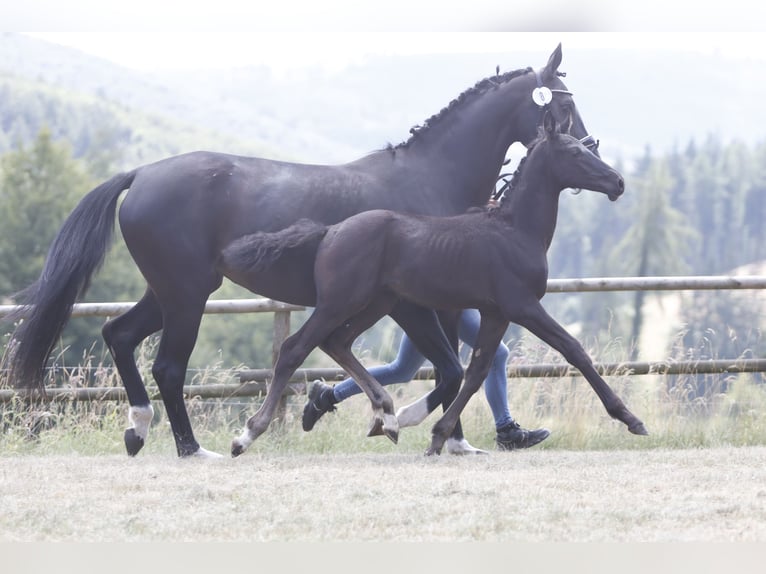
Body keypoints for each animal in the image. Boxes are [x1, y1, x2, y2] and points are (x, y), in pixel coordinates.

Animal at [2, 43, 600, 458]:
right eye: (565, 103)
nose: (593, 150)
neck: (430, 177)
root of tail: (142, 173)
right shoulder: (415, 305)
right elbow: (449, 370)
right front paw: (403, 422)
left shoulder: (443, 304)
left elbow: (457, 368)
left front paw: (440, 434)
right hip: (187, 296)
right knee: (168, 366)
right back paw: (196, 449)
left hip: (173, 292)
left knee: (119, 335)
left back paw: (138, 430)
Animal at [225, 114, 647, 458]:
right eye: (575, 153)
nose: (619, 182)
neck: (514, 230)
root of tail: (331, 230)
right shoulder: (522, 305)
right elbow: (573, 350)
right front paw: (630, 418)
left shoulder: (495, 312)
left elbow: (475, 372)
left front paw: (438, 434)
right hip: (339, 303)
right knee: (294, 349)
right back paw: (247, 436)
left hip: (375, 304)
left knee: (337, 343)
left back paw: (387, 417)